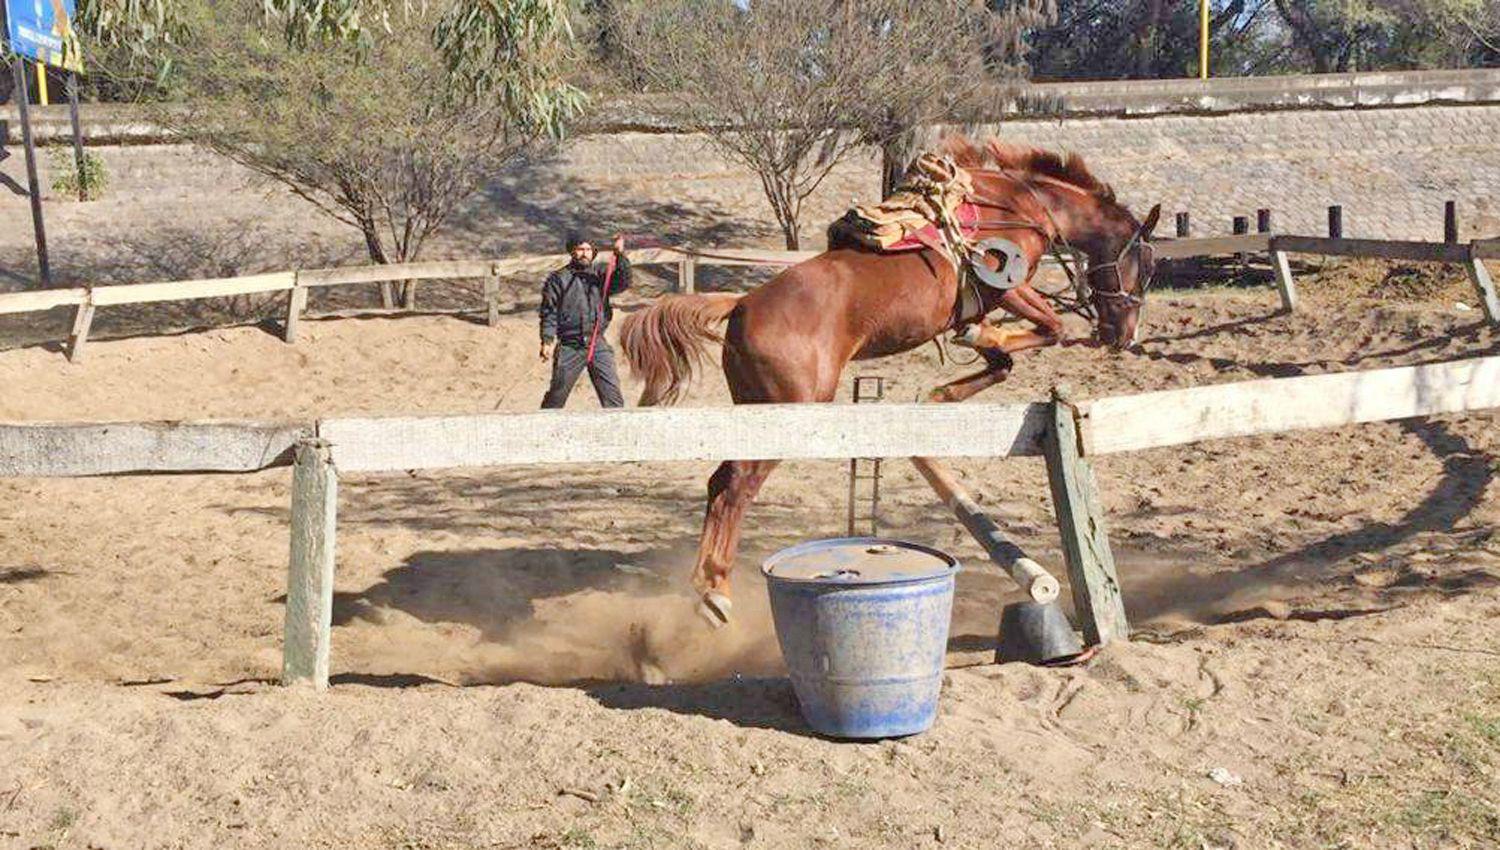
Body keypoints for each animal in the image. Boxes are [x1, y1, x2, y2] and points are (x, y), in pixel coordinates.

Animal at [618, 137, 1158, 626]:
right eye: (1148, 266)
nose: (1123, 336)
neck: (1019, 204)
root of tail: (741, 305)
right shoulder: (1007, 287)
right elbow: (1051, 327)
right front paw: (984, 340)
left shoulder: (980, 306)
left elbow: (1003, 360)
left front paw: (942, 391)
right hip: (791, 410)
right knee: (736, 487)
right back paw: (716, 592)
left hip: (755, 409)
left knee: (719, 482)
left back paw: (706, 585)